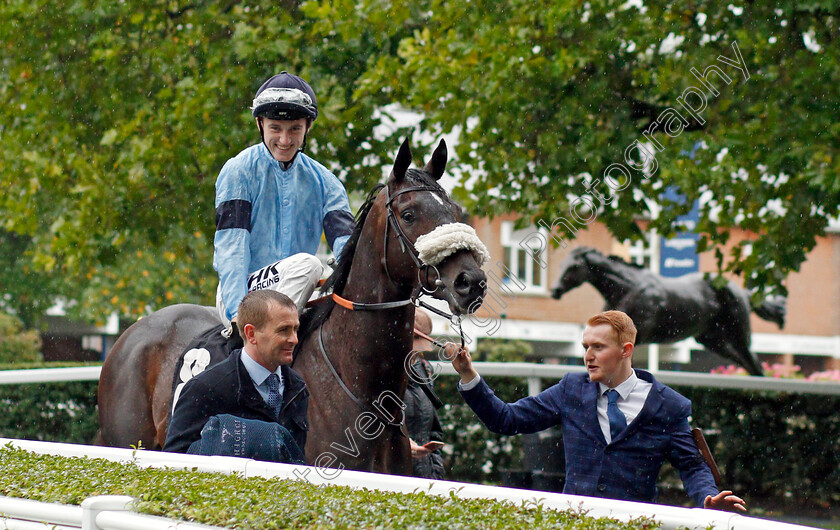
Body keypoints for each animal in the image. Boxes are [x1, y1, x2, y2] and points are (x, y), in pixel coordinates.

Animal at [552, 245, 788, 374]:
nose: (555, 290)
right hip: (715, 341)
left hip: (739, 335)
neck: (628, 287)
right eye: (561, 264)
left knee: (756, 364)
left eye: (574, 266)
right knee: (747, 364)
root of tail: (744, 292)